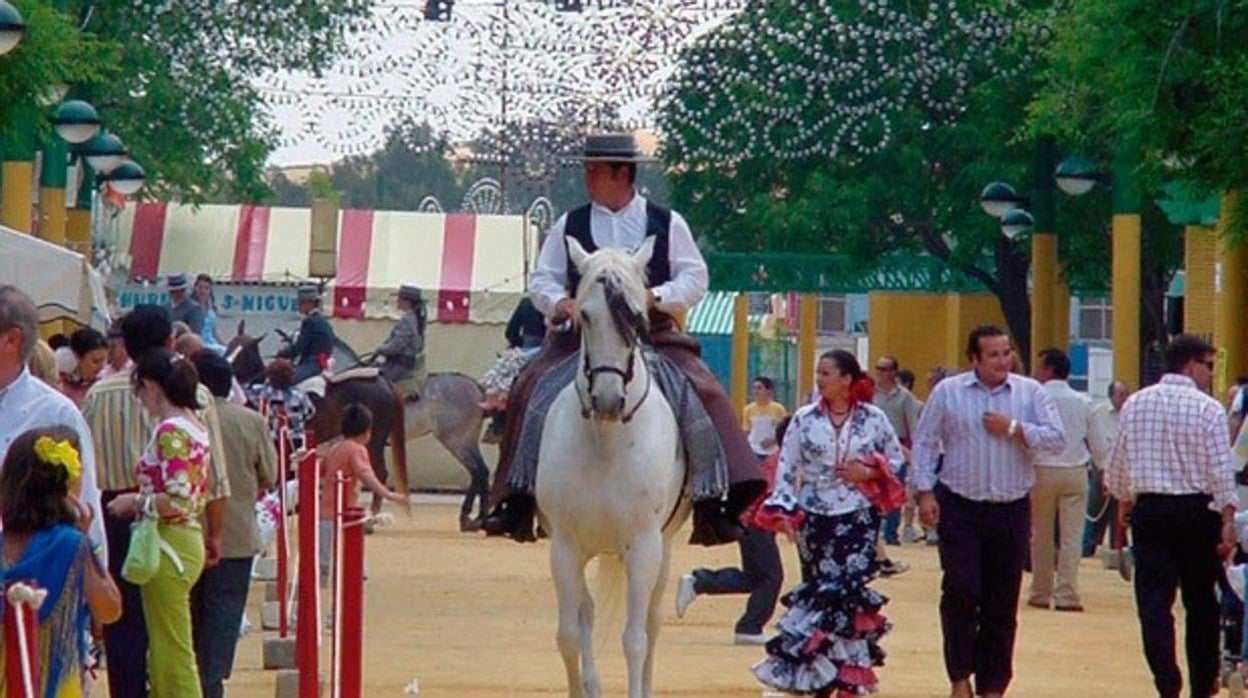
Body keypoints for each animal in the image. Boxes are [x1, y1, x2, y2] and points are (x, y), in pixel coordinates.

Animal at [229, 322, 491, 529]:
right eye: (232, 345)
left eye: (243, 352)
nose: (226, 369)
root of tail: (476, 387)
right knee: (481, 472)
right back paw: (477, 518)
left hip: (450, 440)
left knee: (473, 471)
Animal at [536, 235, 693, 698]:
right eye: (585, 315)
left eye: (636, 318)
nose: (607, 399)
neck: (606, 443)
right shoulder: (564, 547)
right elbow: (569, 634)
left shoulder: (643, 547)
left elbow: (635, 639)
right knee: (586, 613)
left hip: (663, 548)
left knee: (652, 624)